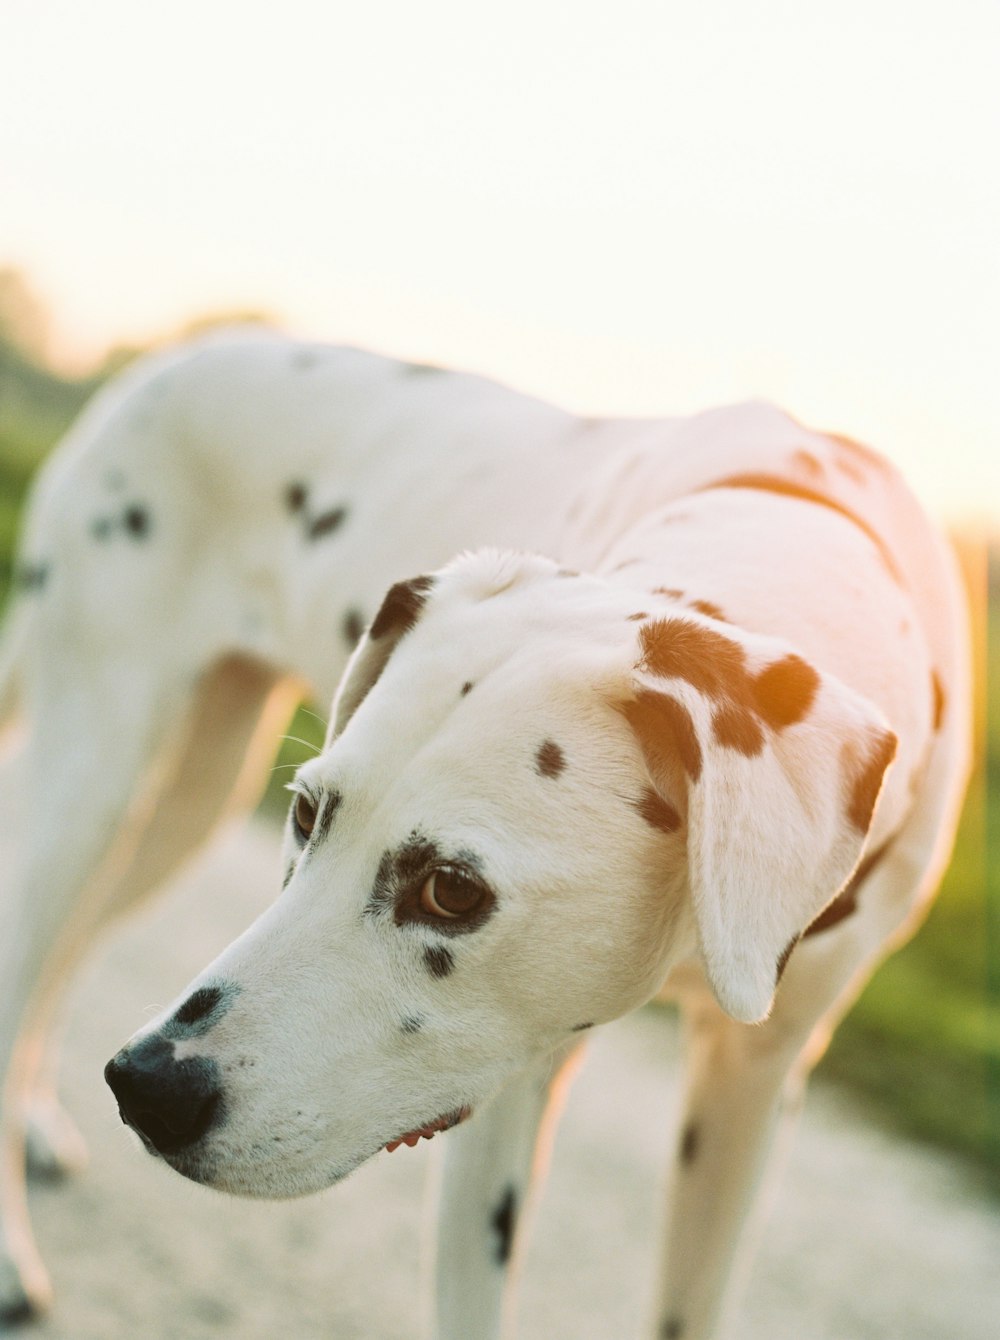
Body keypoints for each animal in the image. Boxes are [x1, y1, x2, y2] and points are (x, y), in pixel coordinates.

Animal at [0, 329, 965, 1334]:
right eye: (309, 815)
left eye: (452, 891)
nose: (148, 1087)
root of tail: (179, 353)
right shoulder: (513, 1085)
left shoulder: (754, 1085)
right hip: (94, 775)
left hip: (190, 804)